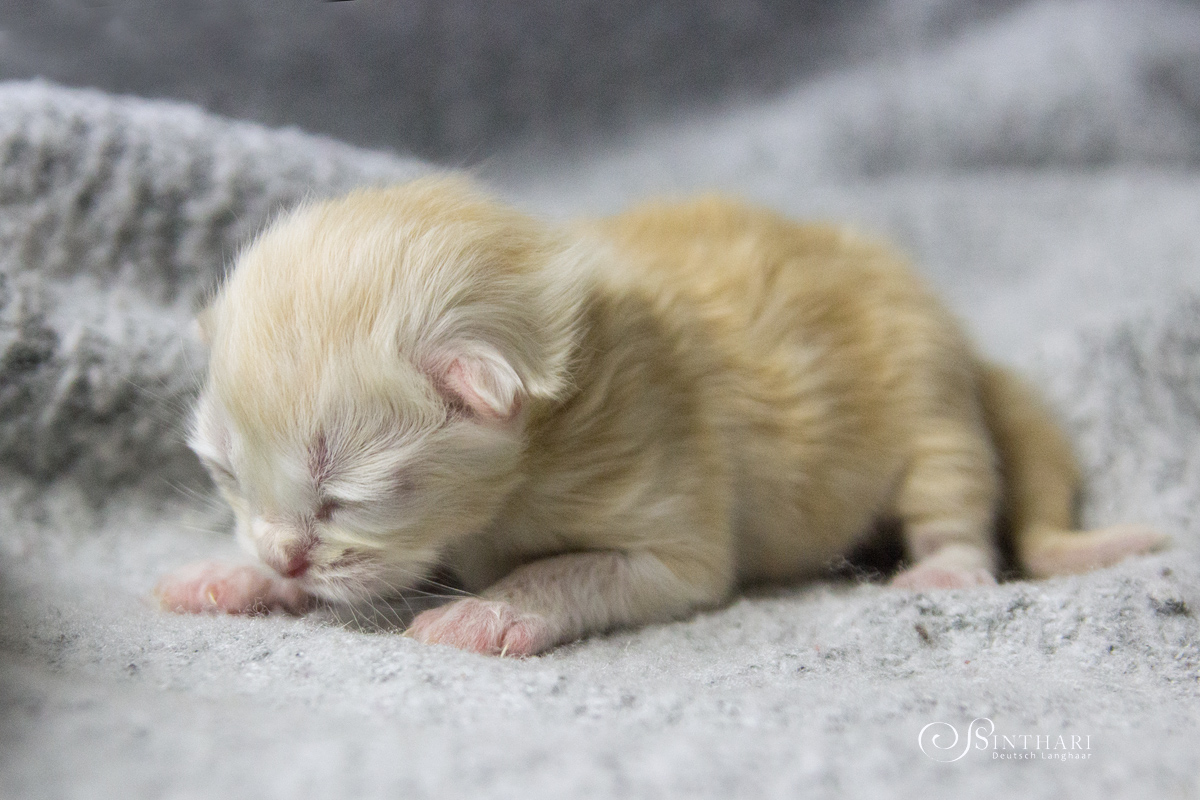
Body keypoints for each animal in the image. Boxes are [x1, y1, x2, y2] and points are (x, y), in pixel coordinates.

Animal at [154, 175, 1166, 657]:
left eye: (349, 496)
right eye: (228, 477)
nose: (281, 552)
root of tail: (968, 348)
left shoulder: (671, 519)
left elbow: (566, 572)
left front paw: (485, 612)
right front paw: (238, 575)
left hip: (933, 414)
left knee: (955, 505)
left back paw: (945, 570)